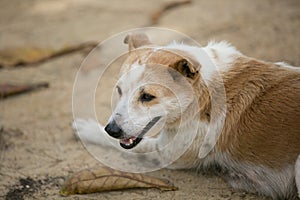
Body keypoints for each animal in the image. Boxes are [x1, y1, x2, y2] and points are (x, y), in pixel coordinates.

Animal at [73, 33, 300, 199]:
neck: (203, 94)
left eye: (147, 96)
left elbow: (130, 146)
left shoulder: (167, 152)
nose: (112, 129)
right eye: (119, 90)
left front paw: (87, 129)